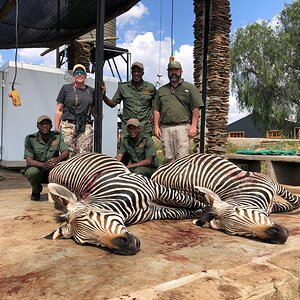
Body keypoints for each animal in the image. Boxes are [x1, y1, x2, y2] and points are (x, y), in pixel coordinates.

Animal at [46, 154, 206, 254]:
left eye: (92, 214)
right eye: (88, 242)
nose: (128, 247)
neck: (128, 208)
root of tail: (60, 163)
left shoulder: (156, 188)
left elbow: (188, 201)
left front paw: (207, 211)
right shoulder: (152, 212)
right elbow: (181, 212)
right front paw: (199, 214)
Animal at [152, 152, 300, 244]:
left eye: (239, 210)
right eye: (233, 232)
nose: (280, 236)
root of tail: (160, 170)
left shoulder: (272, 184)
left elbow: (292, 200)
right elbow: (286, 205)